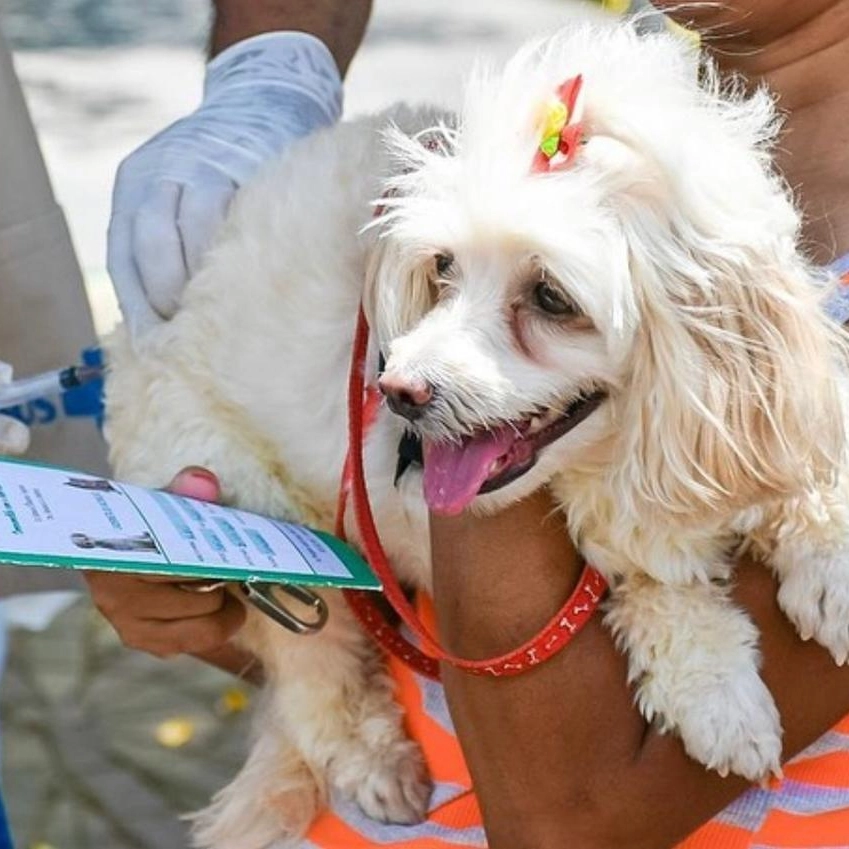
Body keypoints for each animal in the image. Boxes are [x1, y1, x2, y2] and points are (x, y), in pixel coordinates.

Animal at [104, 18, 848, 848]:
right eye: (441, 268)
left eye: (551, 296)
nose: (397, 390)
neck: (630, 450)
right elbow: (650, 579)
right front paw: (714, 687)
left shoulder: (758, 415)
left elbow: (797, 468)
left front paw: (824, 549)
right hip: (242, 495)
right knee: (309, 660)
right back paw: (371, 755)